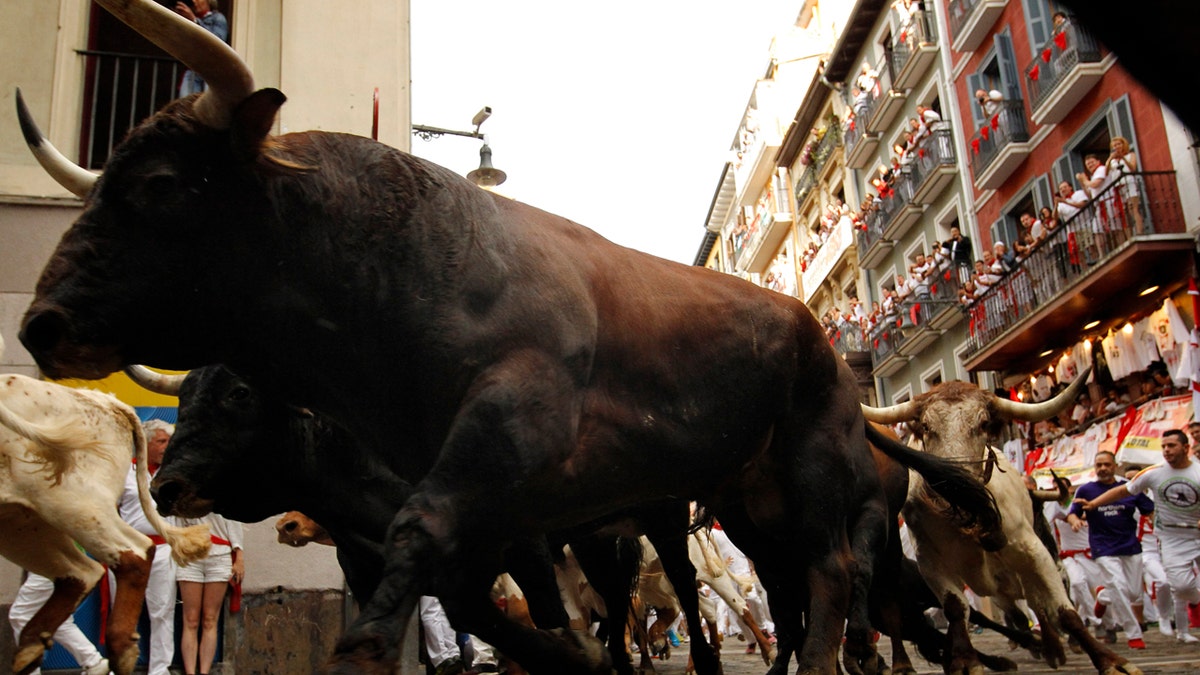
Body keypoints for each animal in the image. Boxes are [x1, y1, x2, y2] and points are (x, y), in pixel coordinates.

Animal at [14, 2, 998, 667]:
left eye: (161, 185)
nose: (40, 322)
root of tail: (813, 329)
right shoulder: (495, 529)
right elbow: (510, 617)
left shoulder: (509, 440)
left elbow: (431, 541)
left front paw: (368, 646)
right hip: (743, 499)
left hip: (807, 473)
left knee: (830, 576)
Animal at [864, 367, 1142, 672]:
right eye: (926, 426)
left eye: (983, 423)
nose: (956, 481)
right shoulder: (930, 561)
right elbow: (956, 609)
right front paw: (964, 661)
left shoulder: (1034, 551)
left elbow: (1064, 611)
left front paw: (1110, 661)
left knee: (1038, 605)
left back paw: (1052, 647)